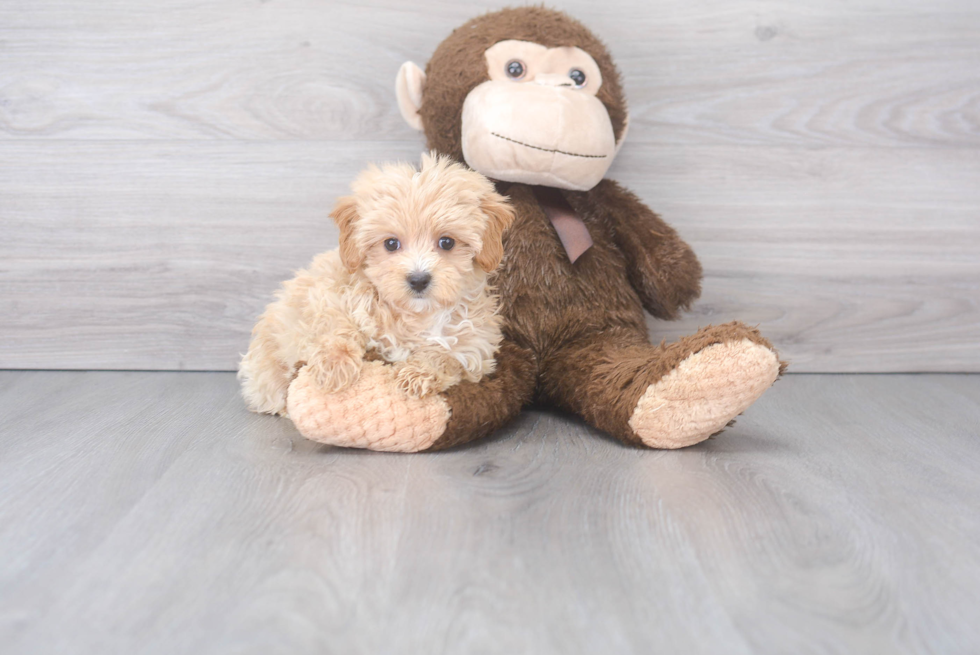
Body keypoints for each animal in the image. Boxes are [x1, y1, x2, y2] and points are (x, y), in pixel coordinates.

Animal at [239, 154, 512, 416]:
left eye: (447, 242)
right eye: (391, 244)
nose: (418, 279)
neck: (415, 315)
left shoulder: (476, 347)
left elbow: (448, 355)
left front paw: (417, 374)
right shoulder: (328, 292)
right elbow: (336, 324)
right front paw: (334, 366)